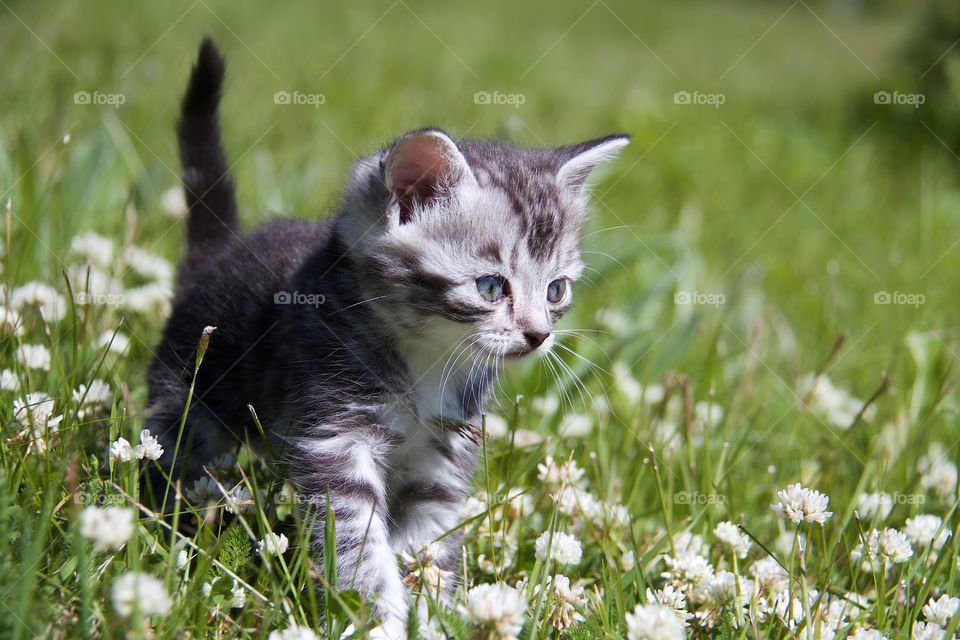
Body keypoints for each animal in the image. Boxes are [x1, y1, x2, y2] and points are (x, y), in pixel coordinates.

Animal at [148, 38, 632, 636]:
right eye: (492, 286)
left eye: (556, 289)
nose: (539, 335)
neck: (427, 358)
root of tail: (219, 254)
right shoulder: (336, 440)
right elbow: (360, 551)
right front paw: (376, 620)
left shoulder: (440, 463)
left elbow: (428, 551)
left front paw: (434, 616)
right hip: (185, 399)